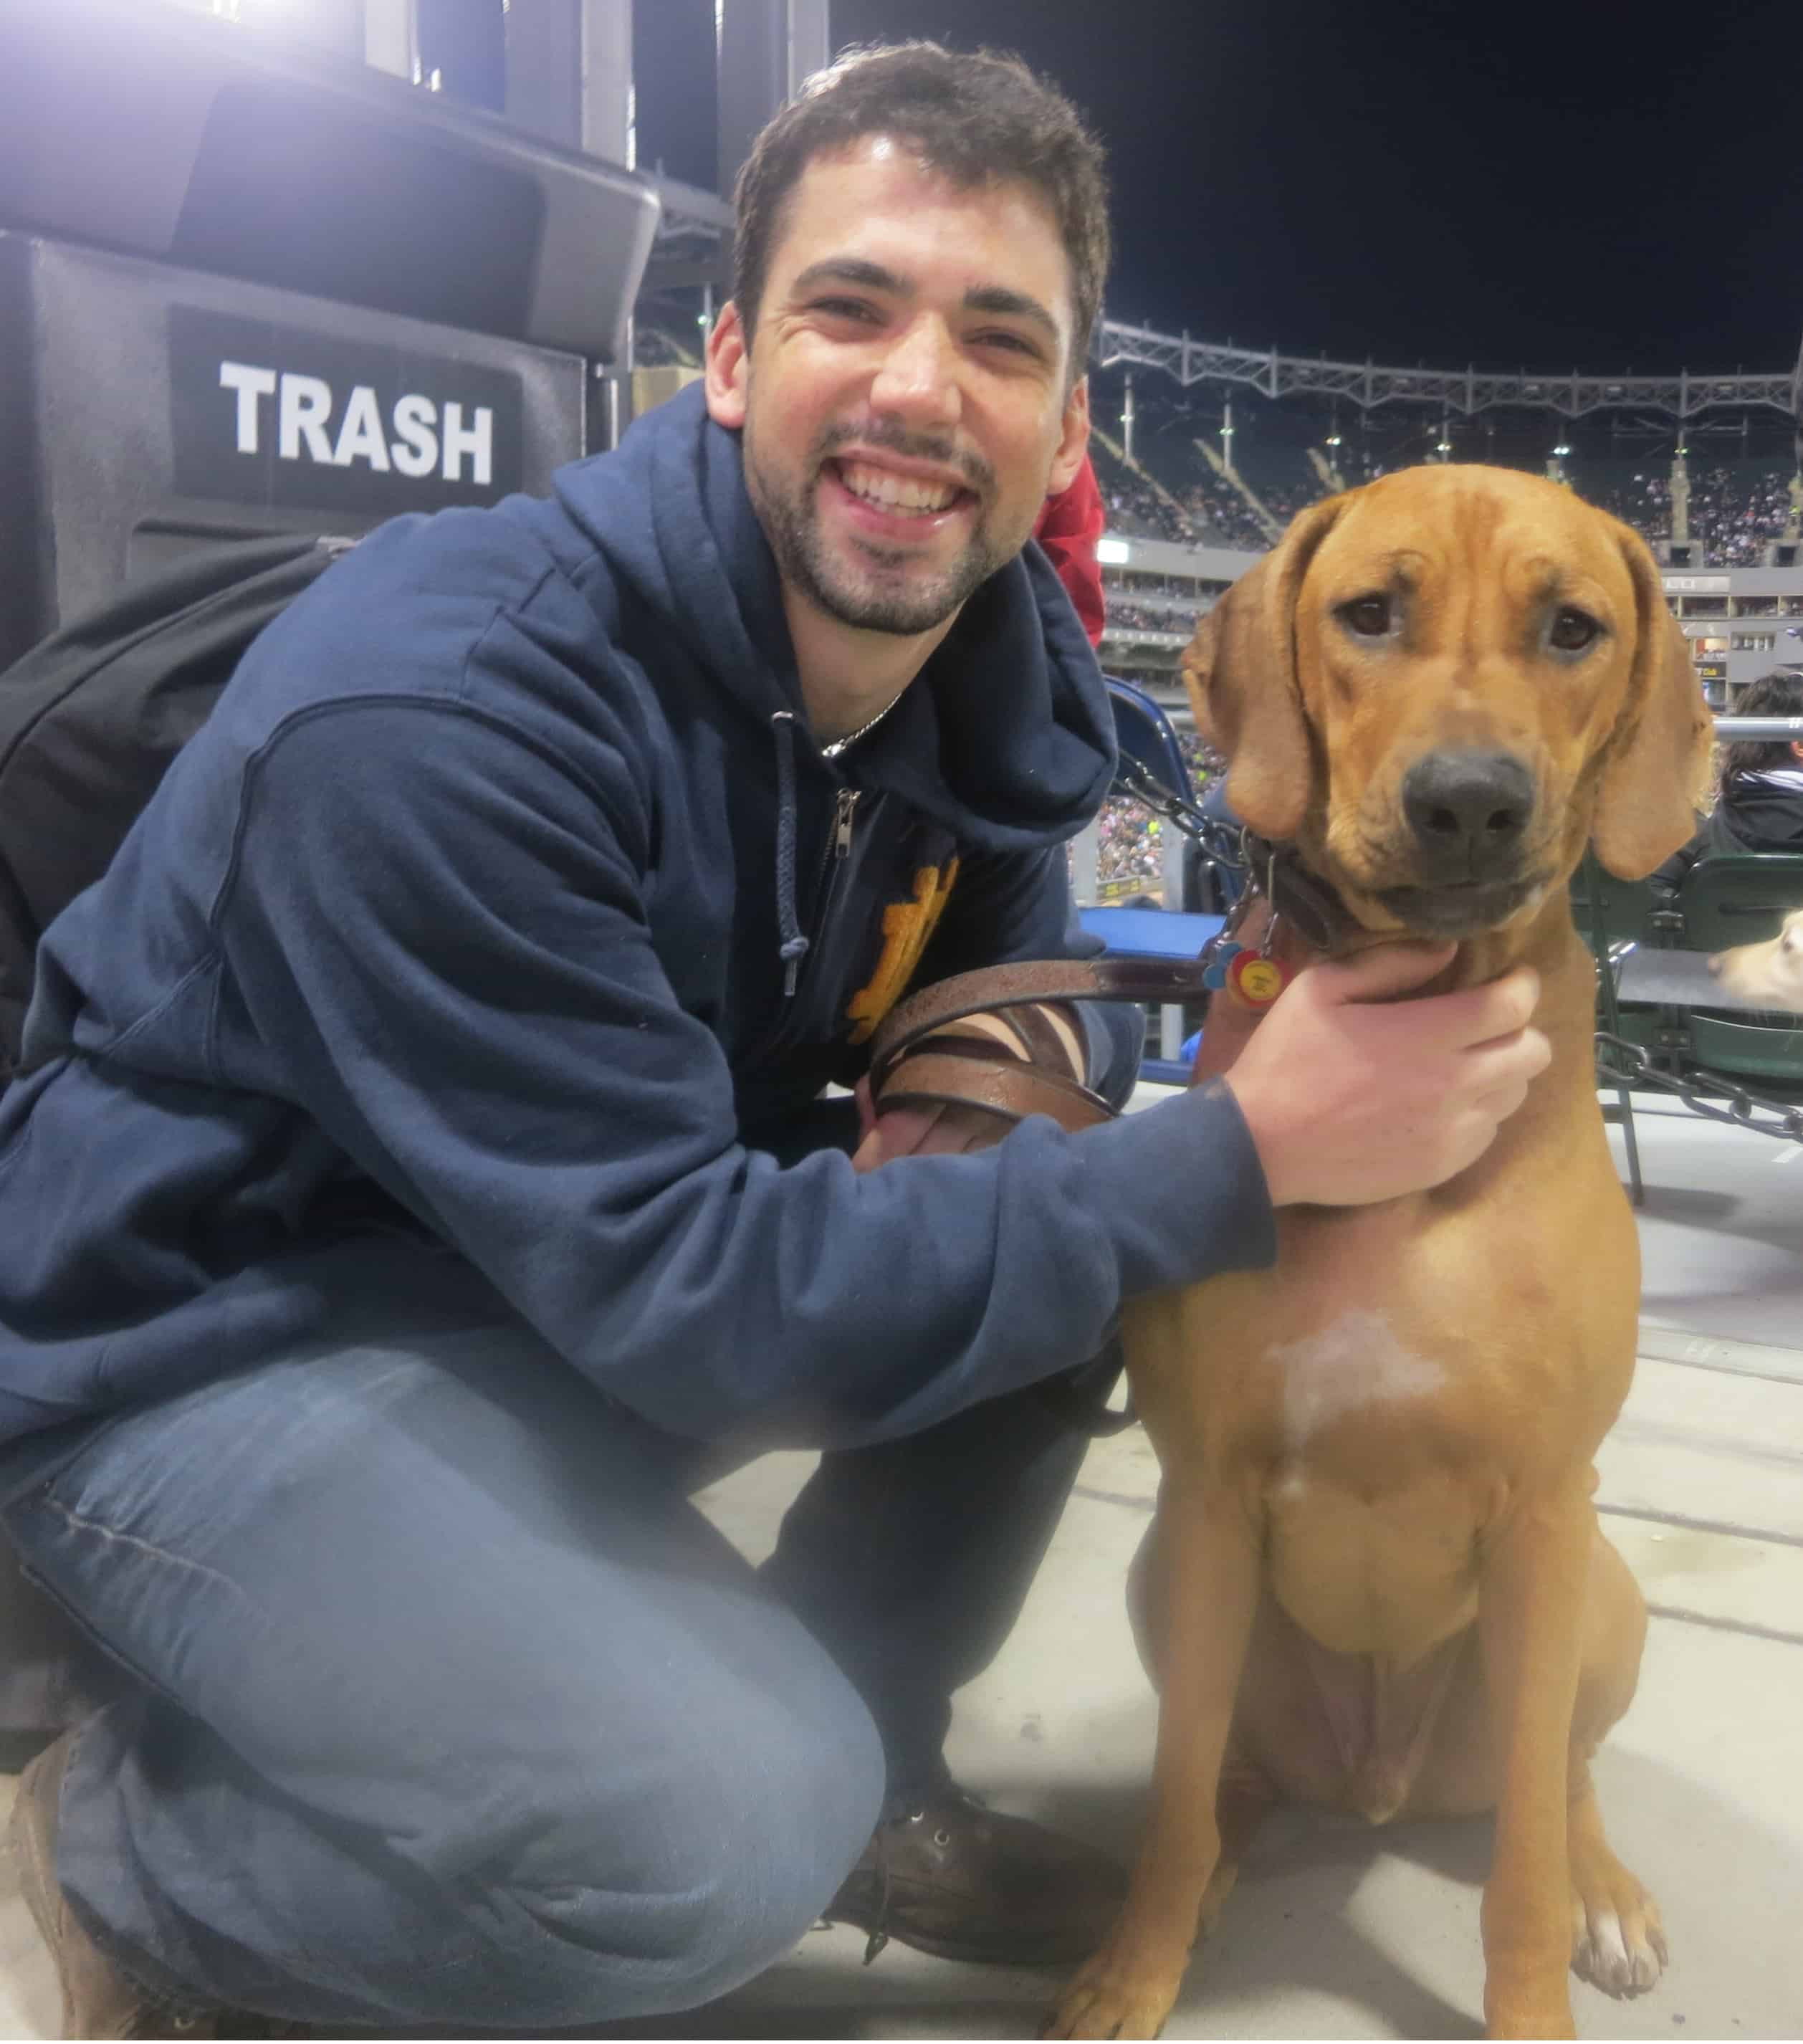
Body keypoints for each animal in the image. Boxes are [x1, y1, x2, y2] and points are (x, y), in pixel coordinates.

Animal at [1046, 468, 1708, 2044]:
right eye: (1367, 613)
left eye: (1573, 628)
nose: (1468, 802)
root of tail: (1378, 1782)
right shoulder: (1207, 1497)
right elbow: (1169, 1792)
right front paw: (1131, 1968)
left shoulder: (1539, 1509)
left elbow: (1520, 1861)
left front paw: (1531, 2003)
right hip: (1165, 1577)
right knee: (1220, 1767)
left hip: (1595, 1594)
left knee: (1559, 1774)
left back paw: (1604, 1888)